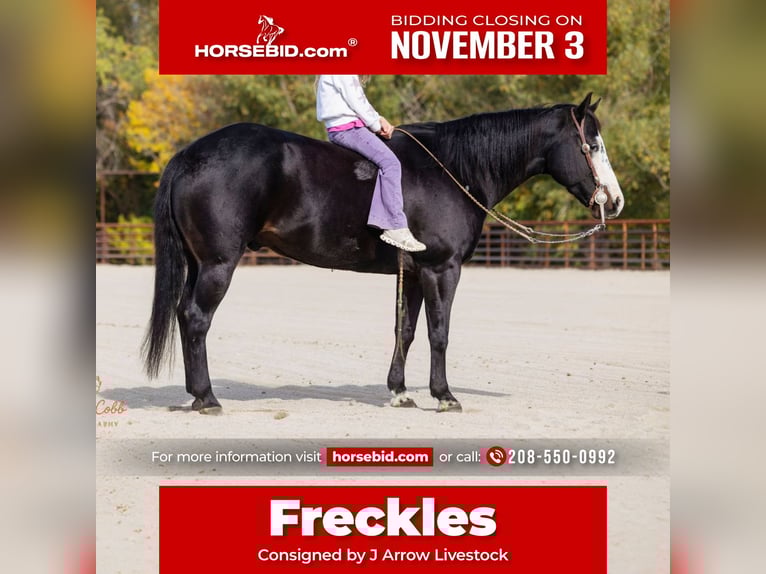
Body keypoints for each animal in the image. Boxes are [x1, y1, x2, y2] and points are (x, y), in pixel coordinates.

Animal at [142, 93, 624, 414]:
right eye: (593, 144)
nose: (615, 202)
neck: (454, 169)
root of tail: (188, 155)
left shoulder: (412, 273)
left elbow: (404, 331)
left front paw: (400, 391)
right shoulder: (441, 269)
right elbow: (438, 333)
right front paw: (444, 396)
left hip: (198, 264)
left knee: (185, 315)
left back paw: (196, 395)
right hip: (218, 264)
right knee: (197, 319)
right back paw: (206, 398)